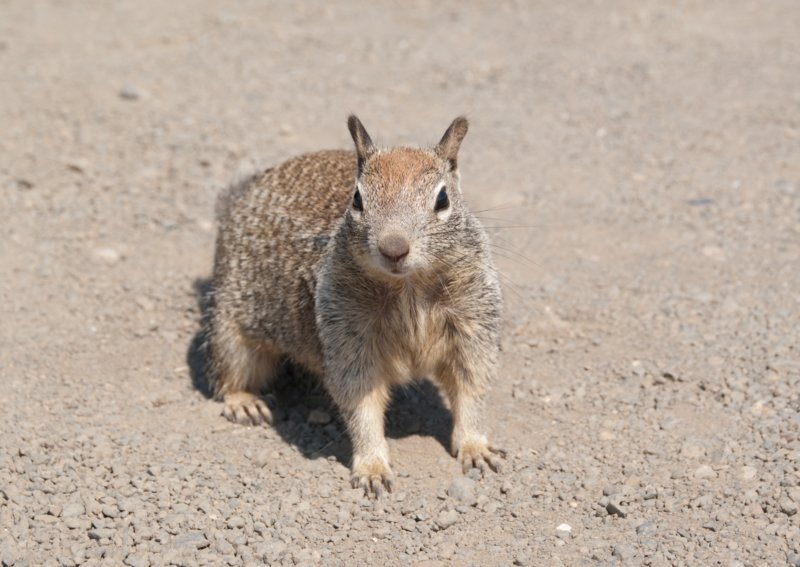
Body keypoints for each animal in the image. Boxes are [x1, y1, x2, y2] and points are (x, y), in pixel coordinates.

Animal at [209, 116, 504, 496]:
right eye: (357, 199)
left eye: (442, 199)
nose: (393, 248)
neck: (407, 286)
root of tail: (241, 196)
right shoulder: (347, 335)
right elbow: (361, 403)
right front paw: (373, 466)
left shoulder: (472, 324)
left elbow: (471, 388)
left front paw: (475, 446)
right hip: (231, 330)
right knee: (229, 373)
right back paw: (244, 403)